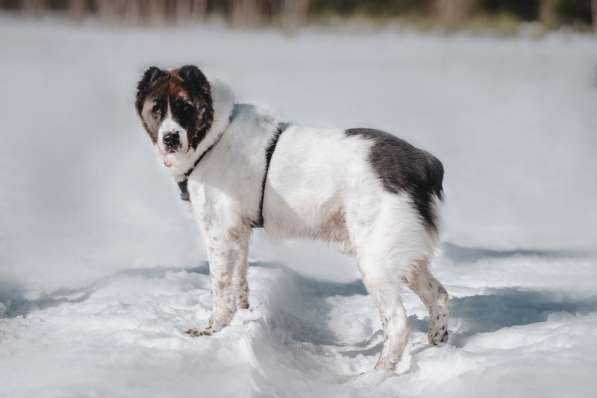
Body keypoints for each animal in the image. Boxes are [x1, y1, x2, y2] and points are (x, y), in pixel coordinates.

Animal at [133, 63, 448, 372]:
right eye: (157, 108)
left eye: (185, 106)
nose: (170, 138)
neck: (215, 136)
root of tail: (422, 162)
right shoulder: (239, 233)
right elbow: (239, 284)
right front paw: (242, 320)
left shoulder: (219, 233)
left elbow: (220, 289)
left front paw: (212, 332)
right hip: (406, 259)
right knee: (439, 294)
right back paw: (438, 340)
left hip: (376, 261)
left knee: (397, 322)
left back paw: (380, 372)